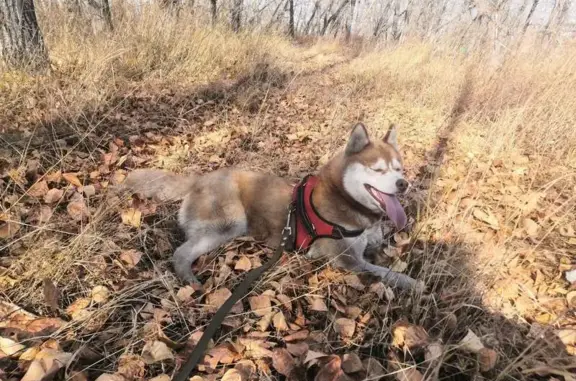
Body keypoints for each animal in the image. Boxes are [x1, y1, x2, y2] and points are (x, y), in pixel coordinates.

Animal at [124, 123, 420, 290]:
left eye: (399, 168)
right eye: (378, 170)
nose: (403, 183)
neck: (343, 196)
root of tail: (199, 178)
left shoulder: (371, 243)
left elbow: (386, 253)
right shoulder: (347, 261)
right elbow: (386, 272)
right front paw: (414, 284)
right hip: (230, 222)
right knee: (181, 253)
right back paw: (188, 279)